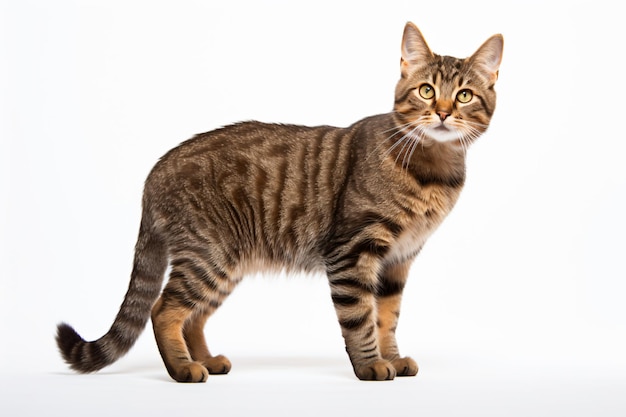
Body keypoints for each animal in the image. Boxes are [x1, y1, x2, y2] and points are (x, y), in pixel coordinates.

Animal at [54, 22, 502, 380]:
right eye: (426, 91)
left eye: (464, 96)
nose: (442, 112)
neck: (433, 170)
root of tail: (154, 172)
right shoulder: (353, 251)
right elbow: (361, 317)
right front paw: (371, 365)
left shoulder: (398, 260)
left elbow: (386, 317)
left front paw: (391, 357)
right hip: (209, 254)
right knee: (163, 309)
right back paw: (183, 368)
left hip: (224, 263)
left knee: (191, 316)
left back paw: (204, 359)